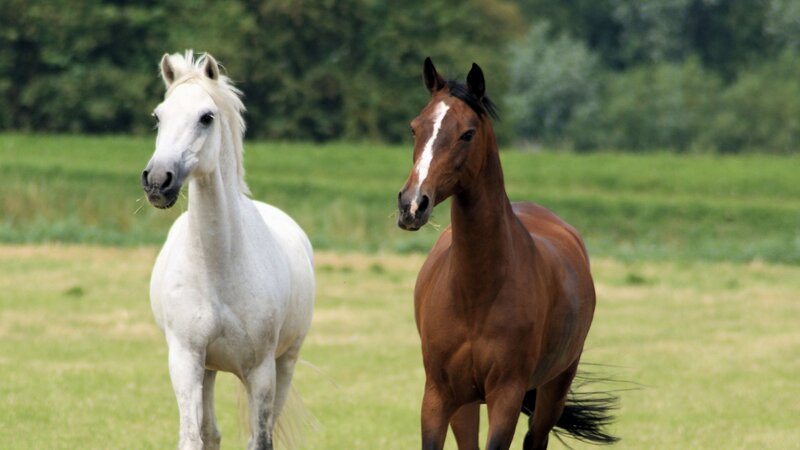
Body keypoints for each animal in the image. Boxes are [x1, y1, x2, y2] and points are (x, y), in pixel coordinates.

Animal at [141, 51, 315, 450]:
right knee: (211, 433)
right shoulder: (186, 360)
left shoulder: (261, 370)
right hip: (208, 369)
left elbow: (259, 439)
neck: (218, 264)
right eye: (158, 116)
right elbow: (193, 437)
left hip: (285, 362)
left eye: (206, 117)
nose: (158, 181)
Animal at [396, 58, 617, 450]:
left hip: (554, 386)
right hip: (466, 402)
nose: (412, 205)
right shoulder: (438, 395)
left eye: (467, 134)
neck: (476, 292)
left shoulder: (506, 395)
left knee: (536, 437)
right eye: (414, 128)